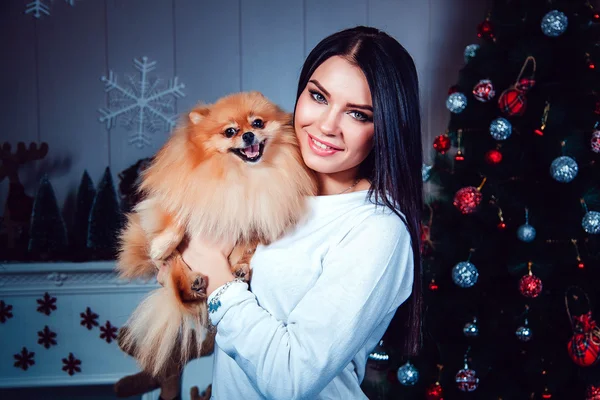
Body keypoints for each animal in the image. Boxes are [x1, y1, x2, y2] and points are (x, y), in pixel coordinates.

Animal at [114, 91, 316, 378]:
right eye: (230, 131)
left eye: (257, 123)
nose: (248, 135)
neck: (240, 175)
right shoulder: (182, 194)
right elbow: (177, 218)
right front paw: (161, 246)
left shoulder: (257, 216)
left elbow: (246, 241)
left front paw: (239, 263)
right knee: (176, 271)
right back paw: (192, 281)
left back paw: (233, 272)